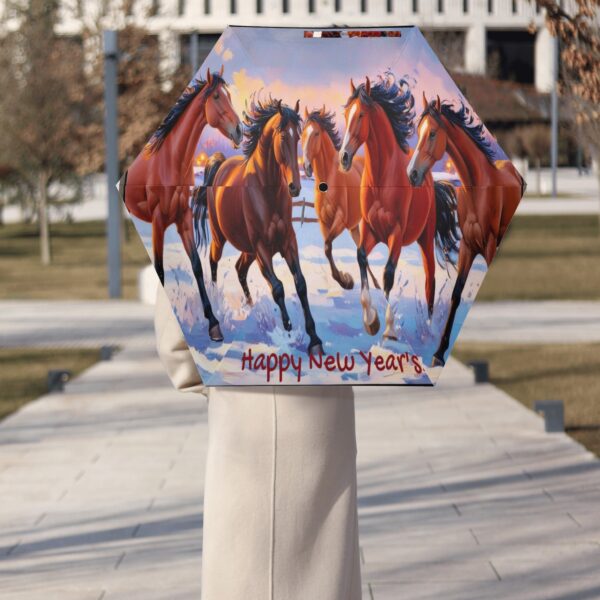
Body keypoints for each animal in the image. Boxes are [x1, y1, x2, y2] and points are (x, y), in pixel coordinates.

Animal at [120, 67, 243, 342]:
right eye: (217, 96)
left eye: (230, 95)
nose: (240, 130)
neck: (170, 162)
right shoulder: (158, 223)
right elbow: (159, 270)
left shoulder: (183, 219)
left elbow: (196, 265)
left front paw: (214, 324)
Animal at [198, 95, 324, 354]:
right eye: (283, 136)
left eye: (298, 136)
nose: (295, 187)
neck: (267, 192)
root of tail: (220, 165)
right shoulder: (262, 249)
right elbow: (278, 287)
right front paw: (287, 325)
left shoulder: (287, 243)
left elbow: (300, 284)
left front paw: (315, 340)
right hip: (221, 238)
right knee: (213, 262)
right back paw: (216, 306)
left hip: (248, 250)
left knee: (240, 269)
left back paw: (249, 304)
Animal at [302, 106, 378, 292]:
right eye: (302, 134)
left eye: (316, 133)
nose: (306, 167)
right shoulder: (324, 222)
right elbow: (327, 249)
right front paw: (345, 280)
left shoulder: (340, 221)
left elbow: (327, 246)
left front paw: (345, 280)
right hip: (353, 227)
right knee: (361, 249)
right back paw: (375, 284)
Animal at [338, 74, 460, 342]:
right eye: (346, 114)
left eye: (360, 115)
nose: (343, 157)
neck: (383, 180)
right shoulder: (370, 231)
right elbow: (361, 258)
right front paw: (370, 321)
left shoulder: (395, 234)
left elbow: (388, 274)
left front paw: (390, 329)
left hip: (425, 238)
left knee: (430, 278)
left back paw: (430, 328)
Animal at [408, 94, 524, 366]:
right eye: (418, 131)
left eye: (432, 133)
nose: (412, 174)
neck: (477, 190)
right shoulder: (468, 248)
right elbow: (456, 294)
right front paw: (439, 353)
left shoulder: (490, 248)